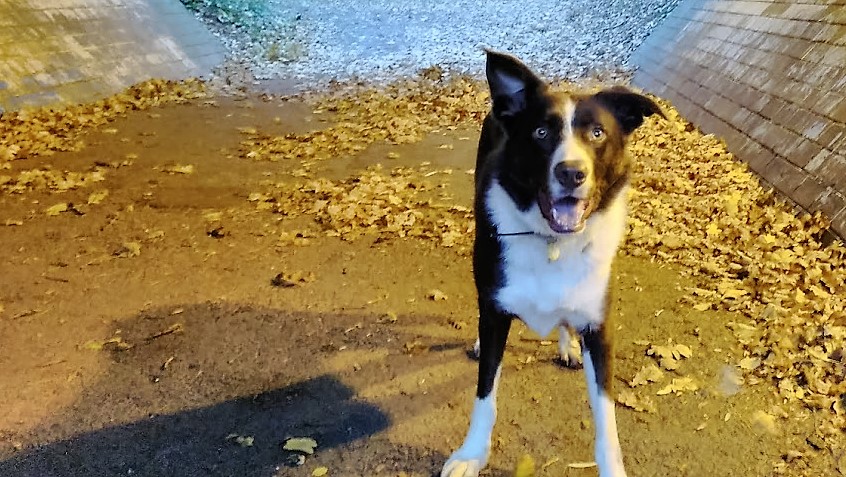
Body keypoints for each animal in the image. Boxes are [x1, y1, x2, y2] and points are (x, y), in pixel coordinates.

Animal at [440, 49, 664, 476]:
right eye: (541, 133)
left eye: (597, 134)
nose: (571, 173)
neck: (553, 242)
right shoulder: (495, 313)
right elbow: (484, 394)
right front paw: (471, 454)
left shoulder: (599, 326)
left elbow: (605, 418)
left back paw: (567, 344)